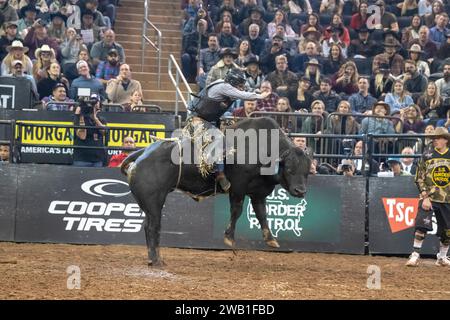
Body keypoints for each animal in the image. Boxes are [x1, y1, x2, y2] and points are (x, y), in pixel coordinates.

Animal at [121, 117, 312, 264]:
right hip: (154, 201)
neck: (262, 148)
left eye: (307, 171)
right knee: (153, 227)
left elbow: (261, 214)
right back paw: (156, 260)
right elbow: (237, 210)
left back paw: (155, 259)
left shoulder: (258, 193)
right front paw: (229, 237)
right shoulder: (238, 187)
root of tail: (143, 154)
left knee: (149, 226)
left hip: (149, 204)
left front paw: (270, 239)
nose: (300, 191)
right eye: (289, 169)